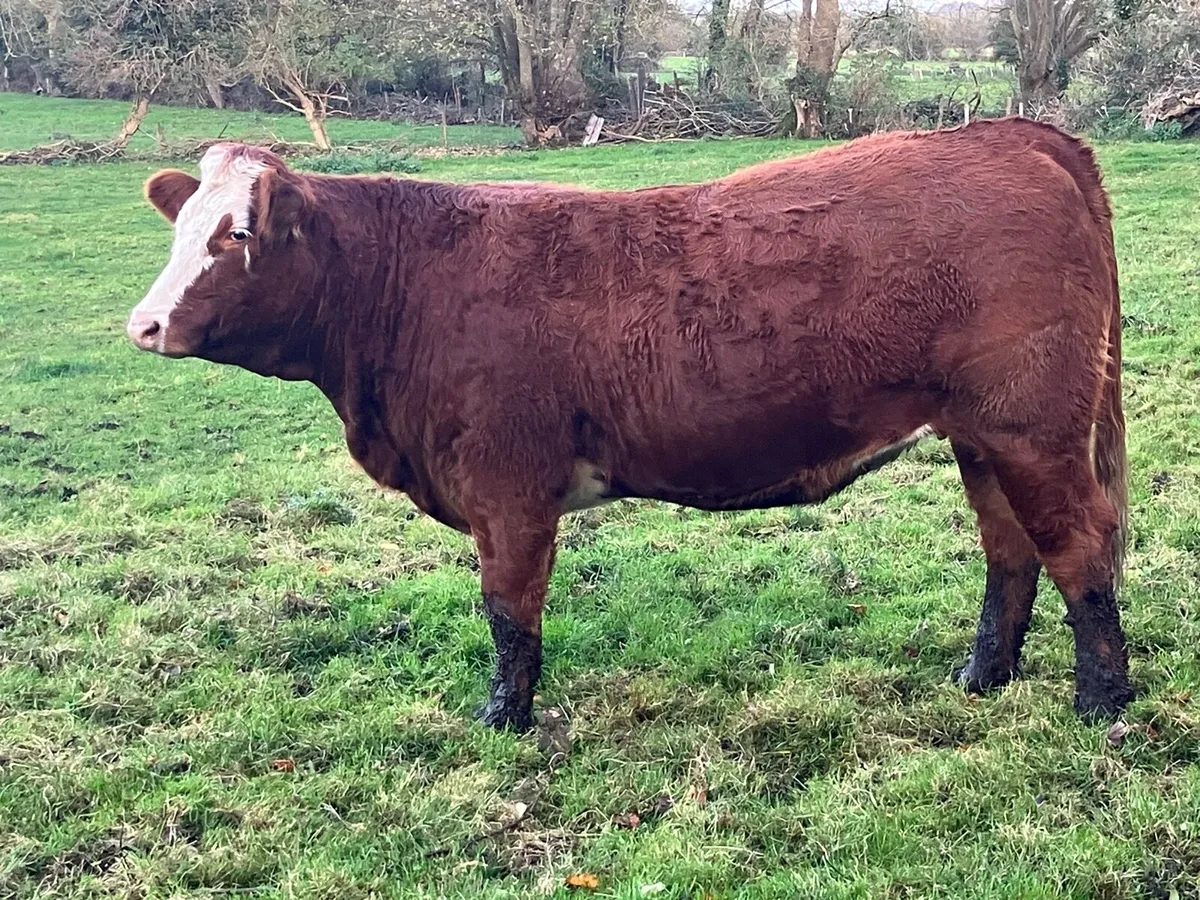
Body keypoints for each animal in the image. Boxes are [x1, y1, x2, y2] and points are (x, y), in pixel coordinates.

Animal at [127, 119, 1133, 731]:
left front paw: (505, 722)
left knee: (1081, 547)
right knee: (1011, 550)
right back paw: (983, 676)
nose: (145, 324)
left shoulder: (508, 489)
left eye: (237, 234)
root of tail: (1009, 133)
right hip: (983, 438)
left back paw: (1103, 701)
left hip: (1033, 431)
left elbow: (509, 615)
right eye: (180, 227)